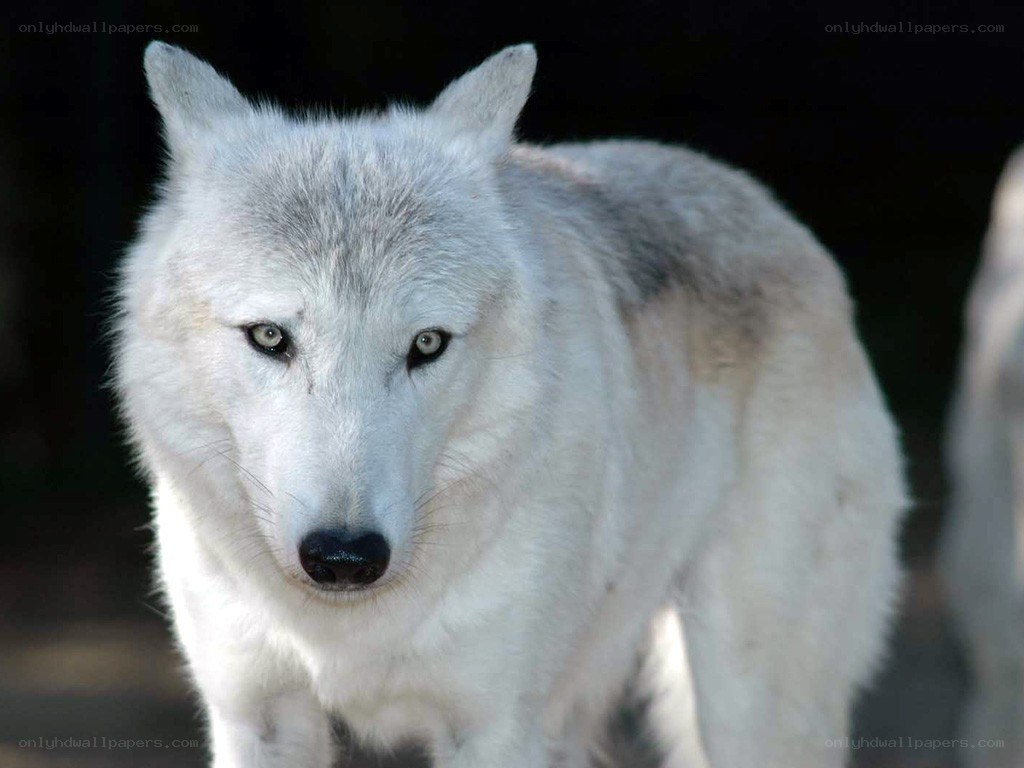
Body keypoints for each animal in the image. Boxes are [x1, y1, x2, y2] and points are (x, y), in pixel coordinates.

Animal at [114, 41, 906, 768]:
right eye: (270, 336)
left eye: (427, 343)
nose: (344, 557)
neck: (347, 631)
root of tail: (775, 214)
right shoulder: (256, 717)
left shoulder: (495, 729)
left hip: (745, 703)